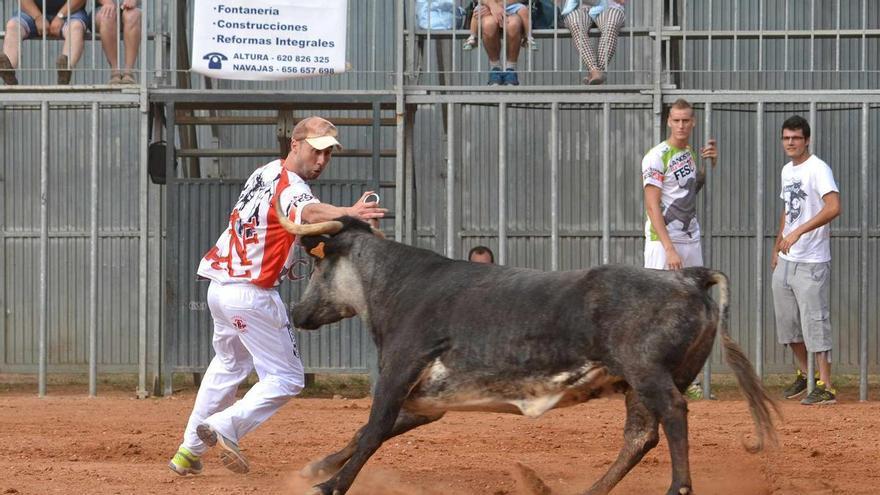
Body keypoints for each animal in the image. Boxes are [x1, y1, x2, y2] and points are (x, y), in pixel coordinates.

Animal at [276, 211, 776, 495]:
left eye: (319, 264)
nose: (298, 312)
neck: (398, 286)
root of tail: (686, 276)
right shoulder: (427, 402)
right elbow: (366, 432)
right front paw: (317, 467)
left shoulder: (398, 372)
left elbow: (374, 430)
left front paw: (329, 485)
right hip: (642, 382)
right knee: (640, 435)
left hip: (648, 373)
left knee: (671, 414)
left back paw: (678, 488)